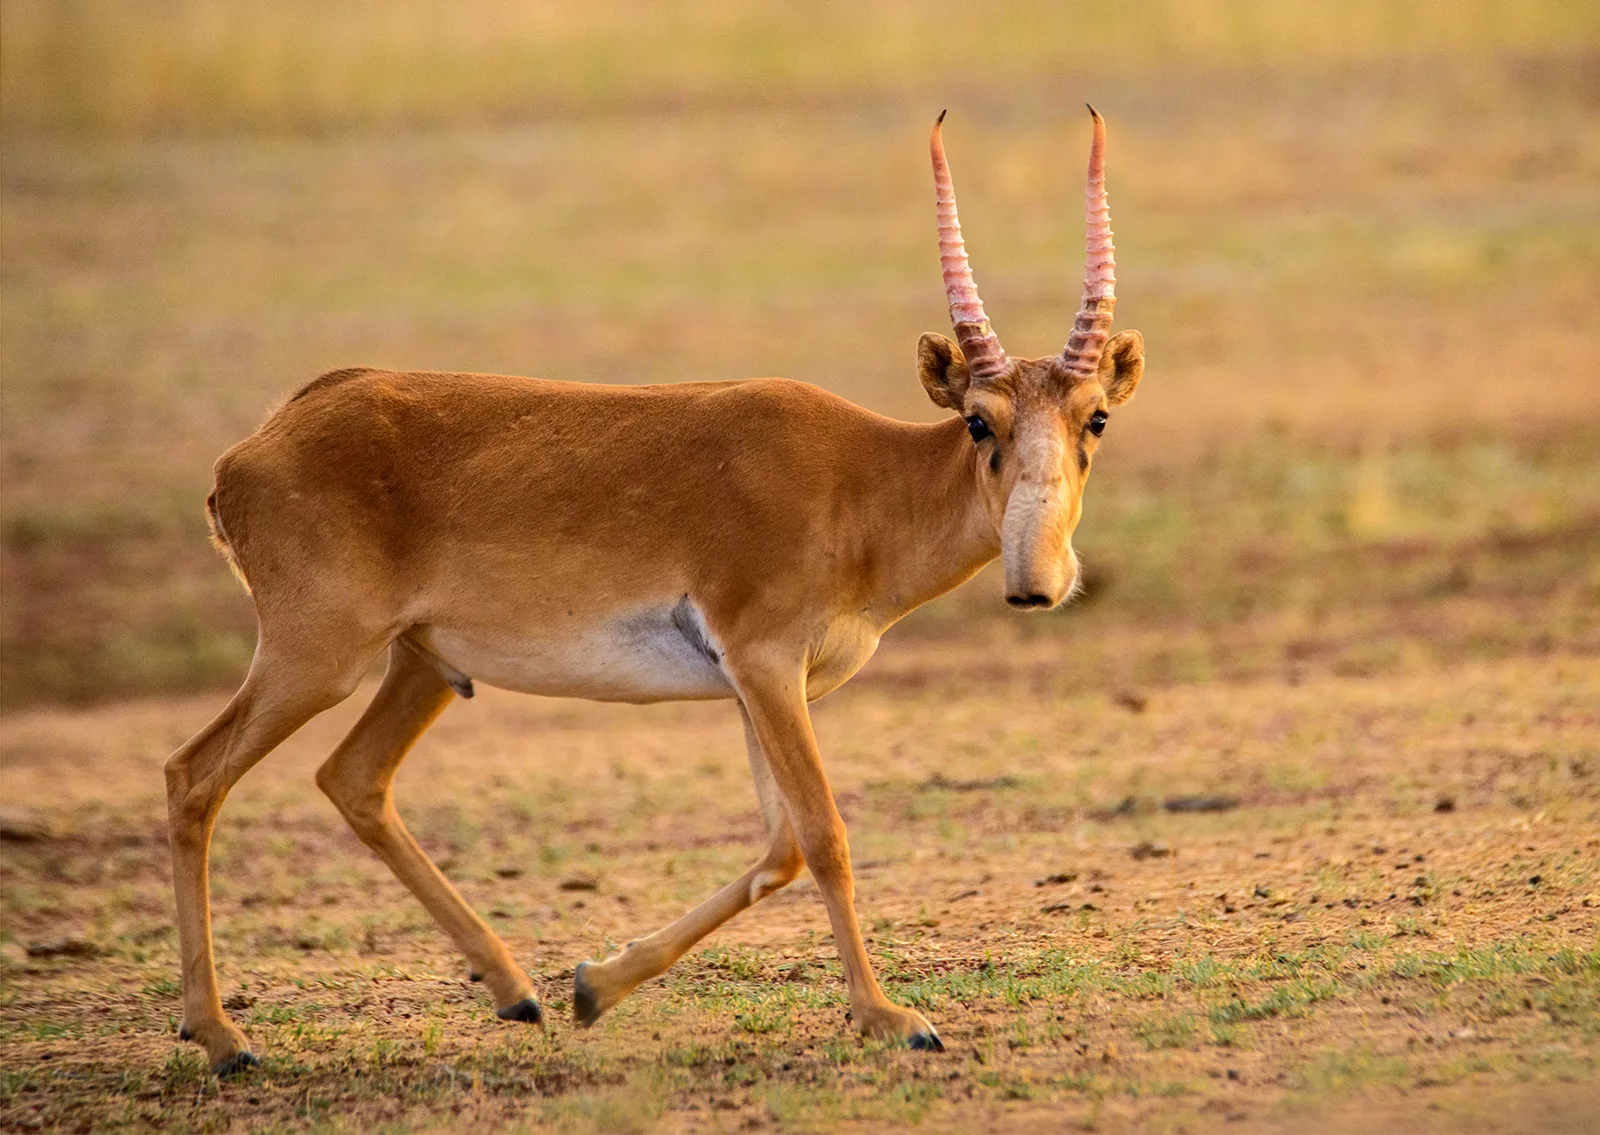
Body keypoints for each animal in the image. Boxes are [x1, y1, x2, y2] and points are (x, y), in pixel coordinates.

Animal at [165, 108, 1139, 1069]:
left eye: (1094, 418)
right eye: (979, 420)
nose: (1036, 584)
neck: (862, 478)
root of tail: (252, 447)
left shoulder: (760, 688)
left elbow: (781, 847)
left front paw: (595, 984)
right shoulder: (765, 664)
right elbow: (825, 835)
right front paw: (893, 1017)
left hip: (422, 666)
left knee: (353, 777)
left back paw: (517, 990)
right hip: (317, 658)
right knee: (193, 775)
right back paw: (222, 1036)